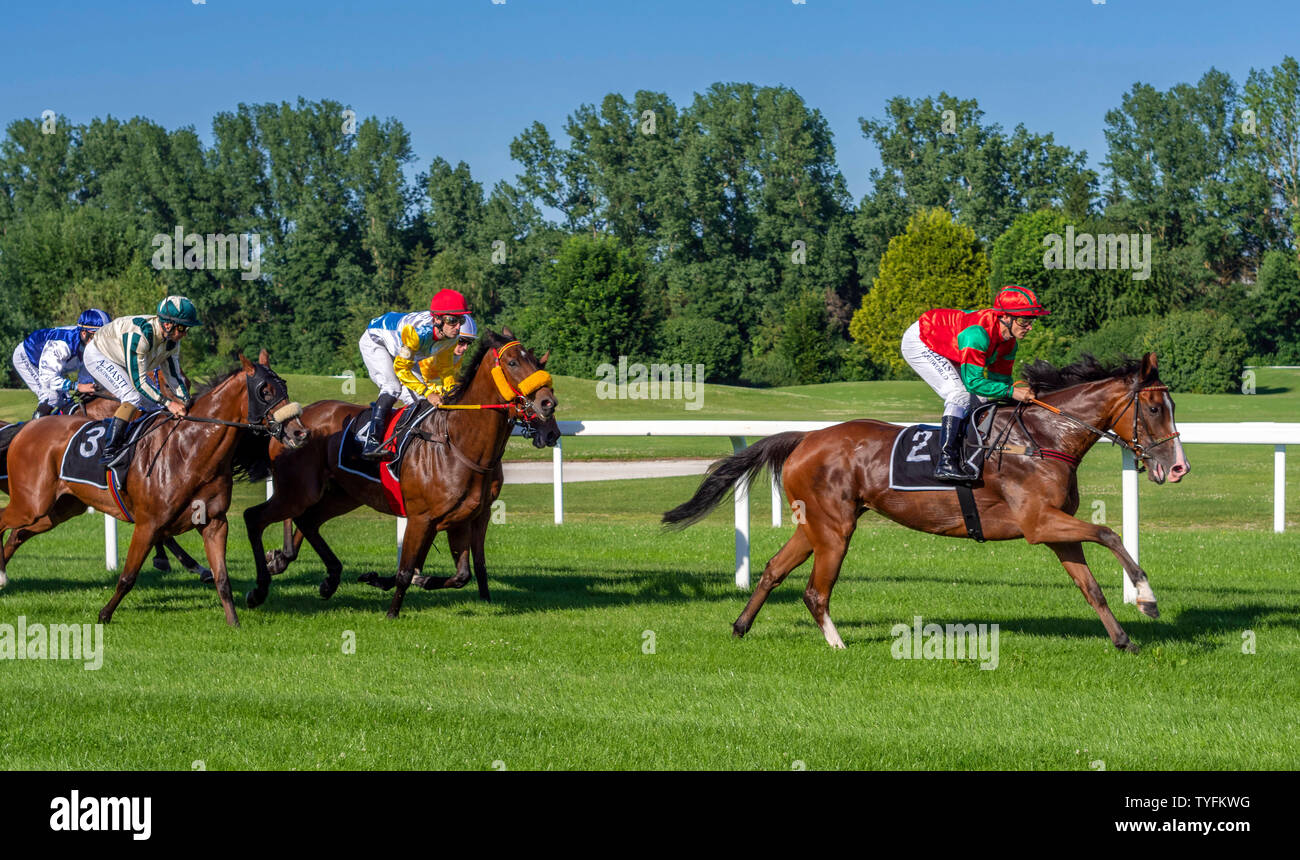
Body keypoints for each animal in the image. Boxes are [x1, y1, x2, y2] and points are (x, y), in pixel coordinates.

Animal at [0, 353, 308, 626]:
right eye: (264, 391)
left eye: (284, 386)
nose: (299, 432)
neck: (190, 450)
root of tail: (26, 429)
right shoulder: (148, 524)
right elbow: (128, 576)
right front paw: (104, 615)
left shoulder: (215, 523)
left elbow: (222, 578)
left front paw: (234, 622)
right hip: (30, 503)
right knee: (4, 521)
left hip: (57, 509)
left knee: (18, 534)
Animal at [670, 353, 1190, 654]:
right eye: (1154, 408)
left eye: (1172, 407)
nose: (1178, 468)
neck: (1043, 438)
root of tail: (805, 438)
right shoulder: (1039, 523)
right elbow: (1110, 533)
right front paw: (1147, 599)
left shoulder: (1055, 528)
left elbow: (1091, 587)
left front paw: (1123, 640)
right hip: (834, 529)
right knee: (815, 591)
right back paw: (837, 644)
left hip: (813, 524)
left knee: (775, 570)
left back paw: (741, 627)